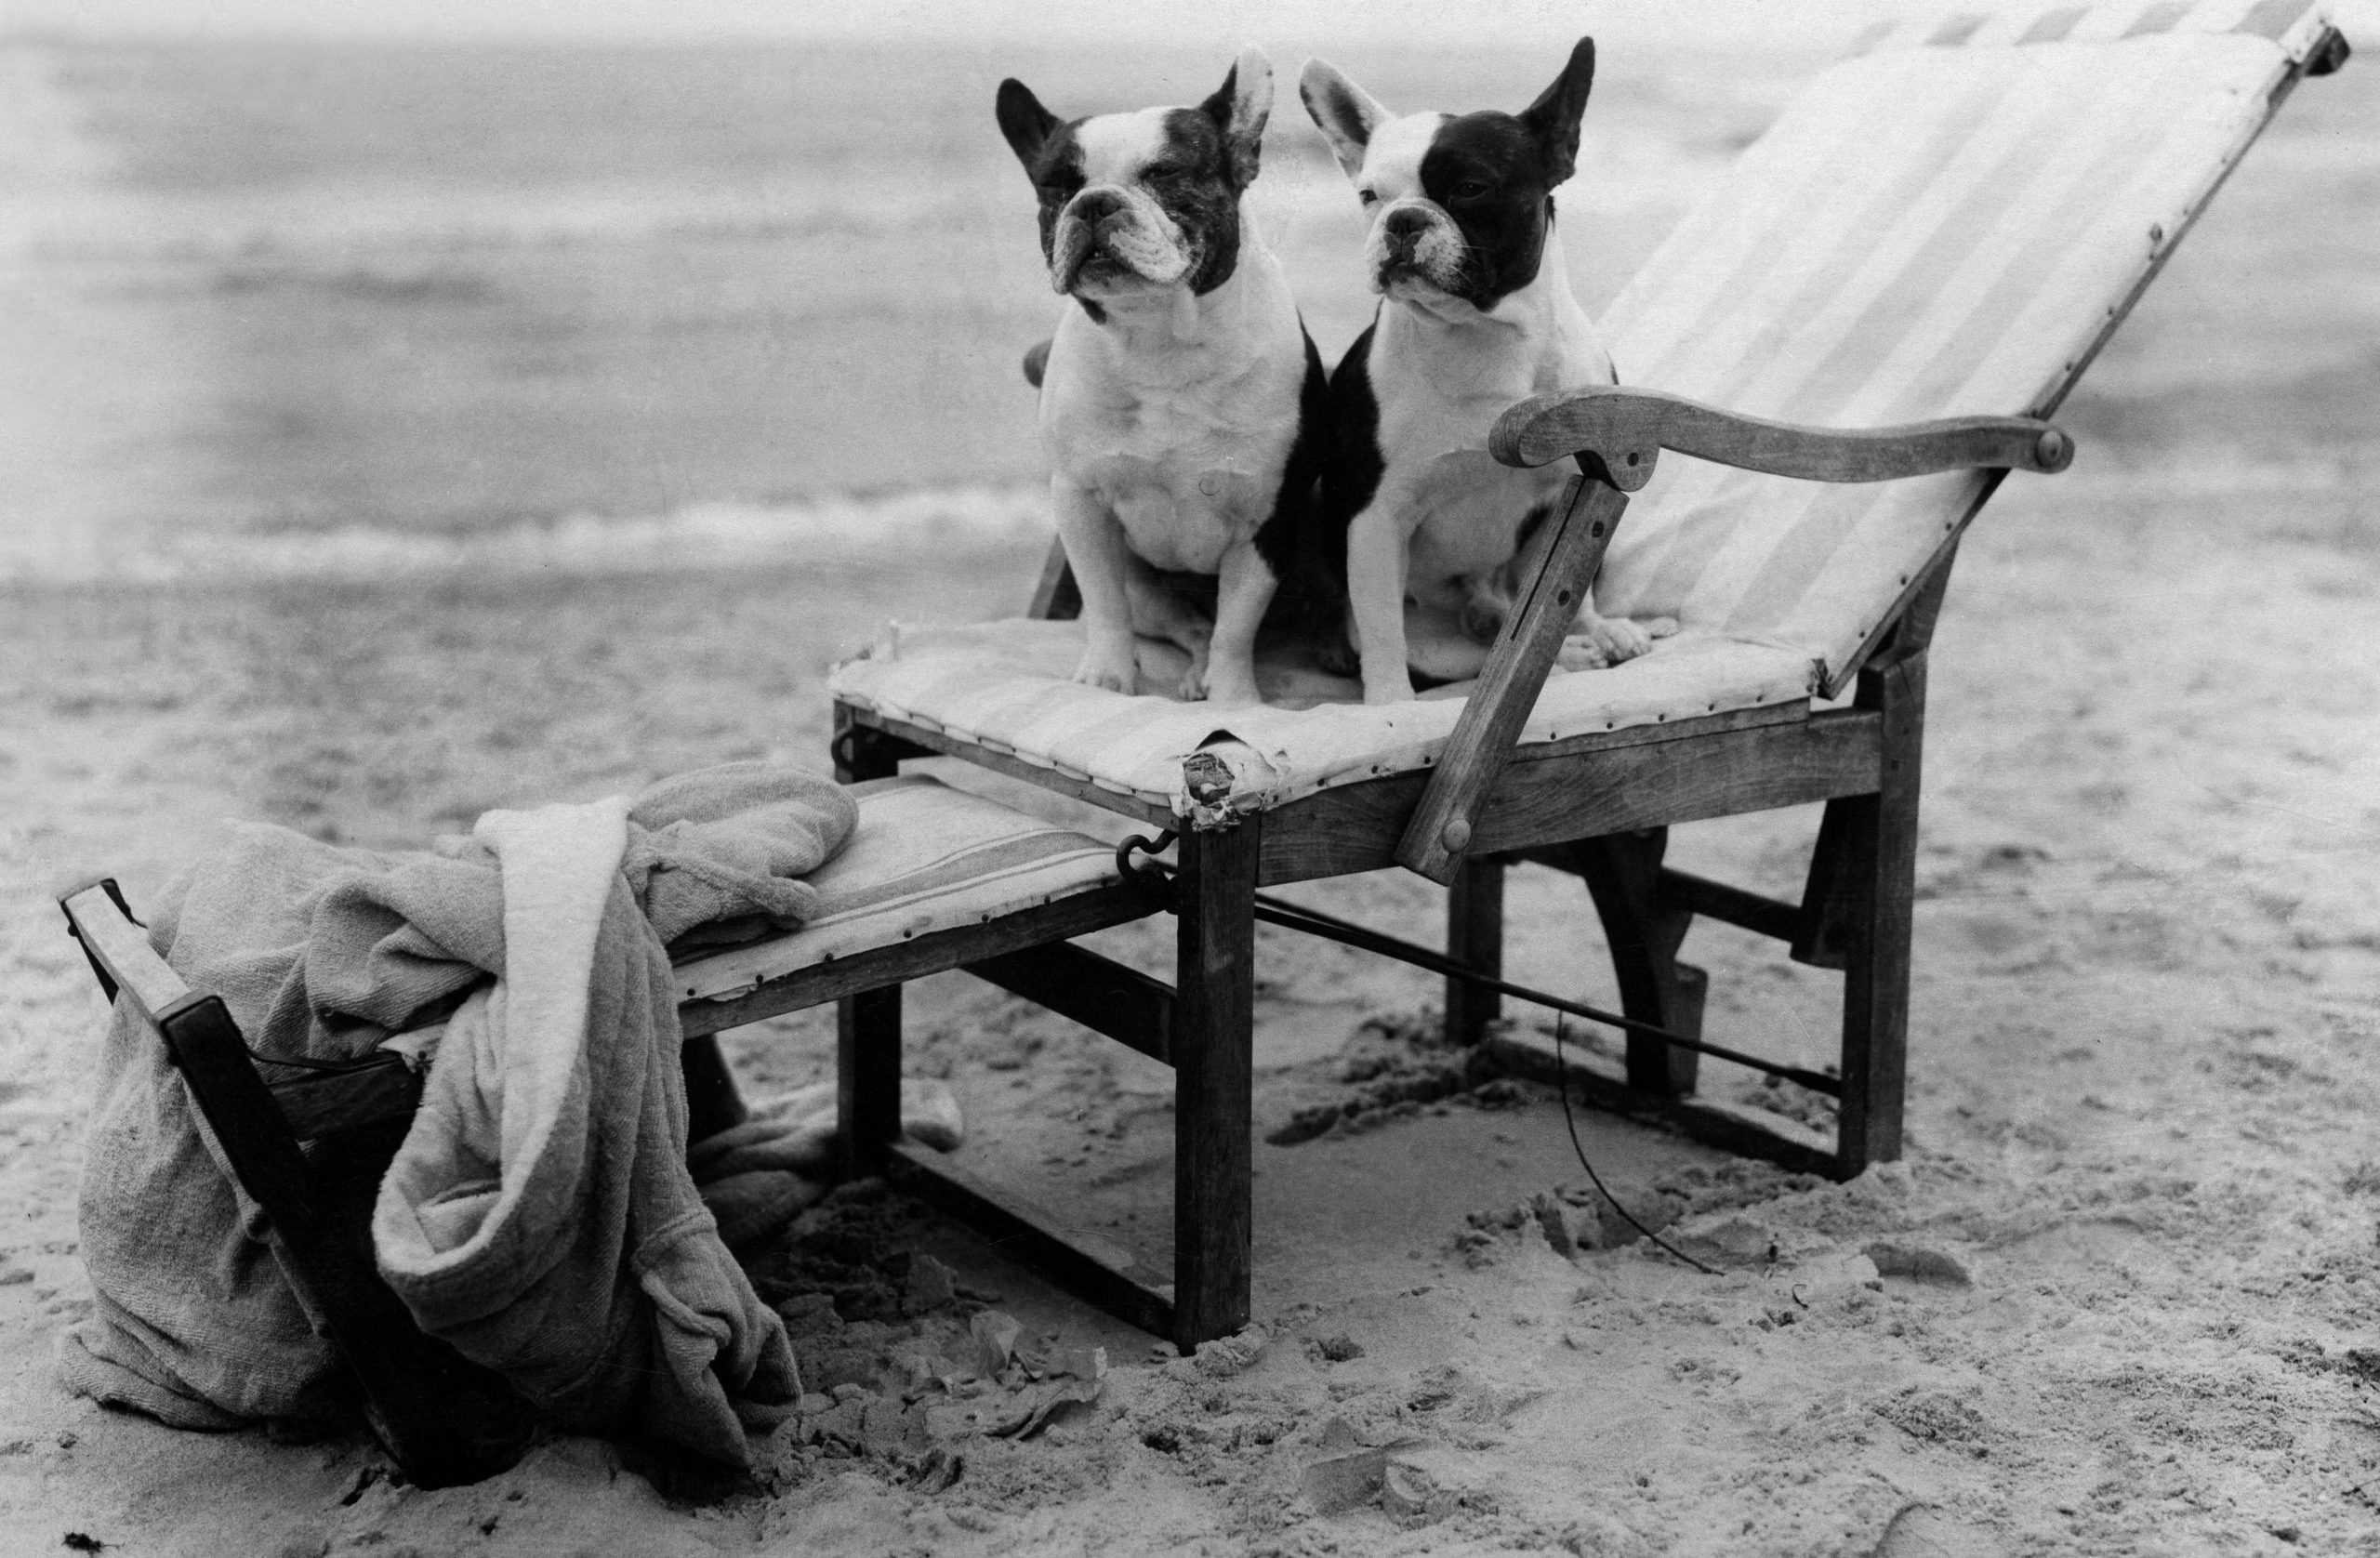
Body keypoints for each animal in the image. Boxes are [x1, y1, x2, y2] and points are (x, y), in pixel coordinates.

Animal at [989, 48, 1342, 708]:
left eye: (1166, 174)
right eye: (1057, 186)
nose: (1095, 202)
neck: (1159, 340)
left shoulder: (1265, 520)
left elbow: (1237, 625)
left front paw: (1235, 697)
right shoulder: (1081, 505)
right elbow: (1105, 604)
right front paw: (1106, 678)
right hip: (1151, 593)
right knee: (1189, 628)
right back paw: (1193, 672)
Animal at [1303, 37, 1656, 708]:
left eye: (1470, 187)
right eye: (1368, 196)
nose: (1402, 219)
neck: (1483, 335)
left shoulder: (1574, 491)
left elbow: (1573, 577)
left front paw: (1587, 629)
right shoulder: (1376, 517)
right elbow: (1382, 625)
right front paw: (1387, 706)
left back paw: (1592, 638)